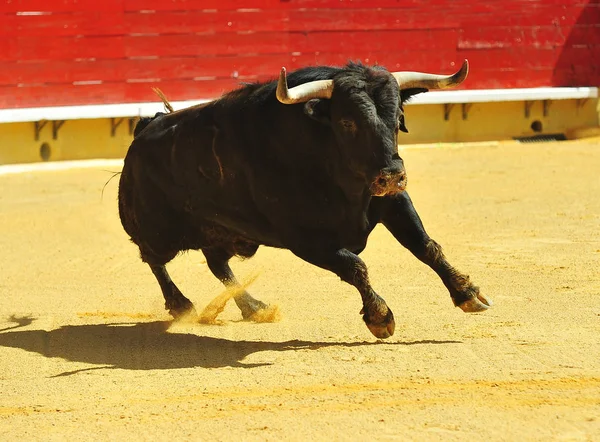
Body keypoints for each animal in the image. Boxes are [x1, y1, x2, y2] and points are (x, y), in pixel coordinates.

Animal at [118, 60, 492, 338]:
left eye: (398, 116)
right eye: (347, 122)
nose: (391, 175)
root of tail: (145, 129)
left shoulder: (393, 202)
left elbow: (426, 246)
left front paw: (468, 294)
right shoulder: (305, 240)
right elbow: (355, 266)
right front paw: (380, 318)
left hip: (225, 232)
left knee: (216, 263)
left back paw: (255, 308)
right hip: (157, 229)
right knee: (153, 259)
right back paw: (181, 304)